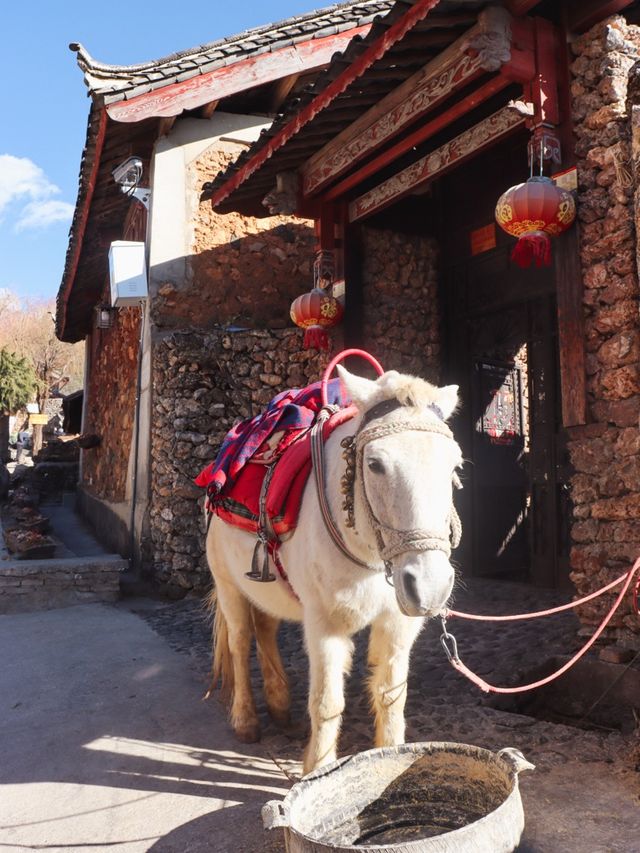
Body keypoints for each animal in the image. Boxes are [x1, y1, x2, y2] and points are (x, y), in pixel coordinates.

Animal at [208, 366, 462, 772]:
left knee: (265, 629)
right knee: (240, 641)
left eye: (454, 466)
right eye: (374, 464)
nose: (430, 586)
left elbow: (391, 696)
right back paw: (246, 720)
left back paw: (281, 710)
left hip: (268, 590)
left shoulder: (397, 623)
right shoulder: (325, 624)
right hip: (228, 585)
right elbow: (327, 702)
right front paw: (318, 769)